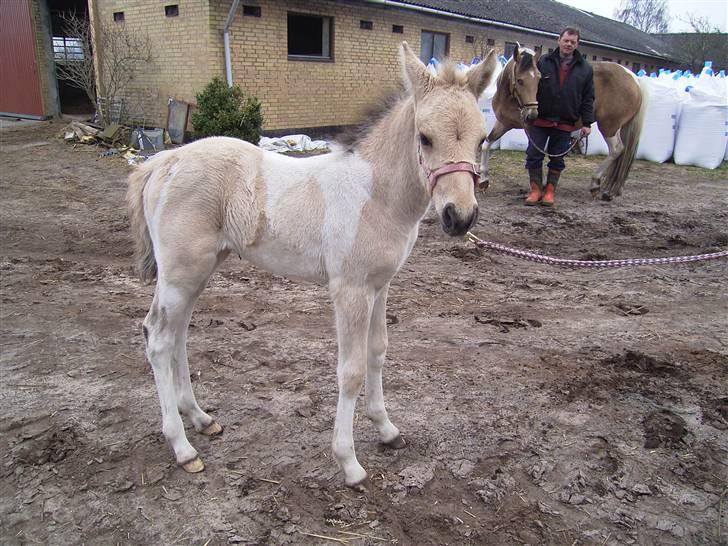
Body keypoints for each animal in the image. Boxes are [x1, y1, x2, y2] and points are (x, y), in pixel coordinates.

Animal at [128, 42, 498, 484]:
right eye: (424, 138)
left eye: (482, 139)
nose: (460, 217)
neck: (375, 195)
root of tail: (162, 163)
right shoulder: (350, 291)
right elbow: (350, 370)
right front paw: (349, 462)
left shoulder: (381, 286)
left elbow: (378, 351)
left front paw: (386, 428)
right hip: (180, 272)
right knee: (158, 338)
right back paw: (182, 446)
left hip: (198, 270)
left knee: (178, 333)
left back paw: (201, 418)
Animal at [484, 46, 648, 200]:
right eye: (520, 80)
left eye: (539, 79)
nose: (532, 115)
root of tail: (634, 79)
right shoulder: (504, 123)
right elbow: (487, 143)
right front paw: (483, 179)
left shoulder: (530, 128)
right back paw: (610, 190)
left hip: (609, 126)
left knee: (616, 149)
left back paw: (596, 183)